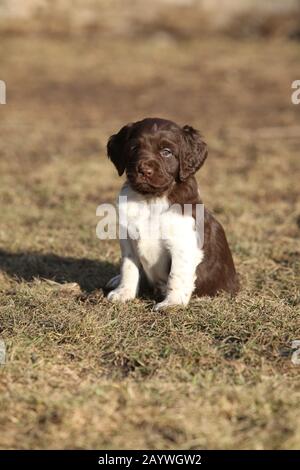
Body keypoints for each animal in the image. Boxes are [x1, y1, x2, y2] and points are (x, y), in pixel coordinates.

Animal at [105, 117, 239, 308]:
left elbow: (177, 275)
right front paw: (123, 293)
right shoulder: (128, 239)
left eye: (166, 152)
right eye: (134, 148)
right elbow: (129, 267)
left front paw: (172, 304)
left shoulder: (183, 244)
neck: (151, 200)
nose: (144, 170)